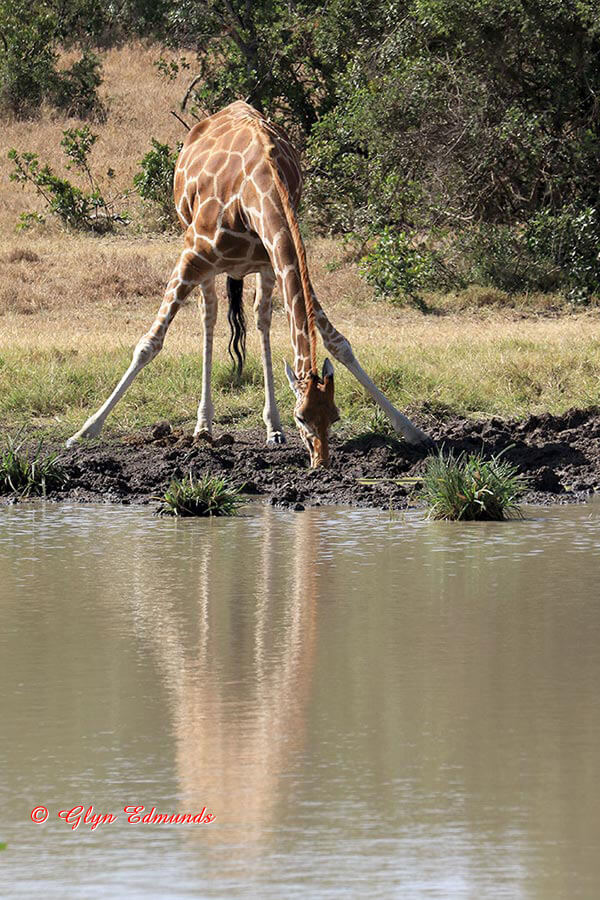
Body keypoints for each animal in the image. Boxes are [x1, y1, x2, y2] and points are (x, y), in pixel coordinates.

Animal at [66, 101, 431, 466]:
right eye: (302, 416)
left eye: (335, 416)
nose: (321, 462)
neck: (254, 193)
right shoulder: (190, 257)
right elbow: (148, 345)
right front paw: (84, 432)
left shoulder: (279, 258)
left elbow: (339, 343)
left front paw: (412, 430)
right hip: (202, 258)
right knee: (209, 316)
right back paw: (203, 426)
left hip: (260, 270)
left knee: (260, 318)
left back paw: (272, 428)